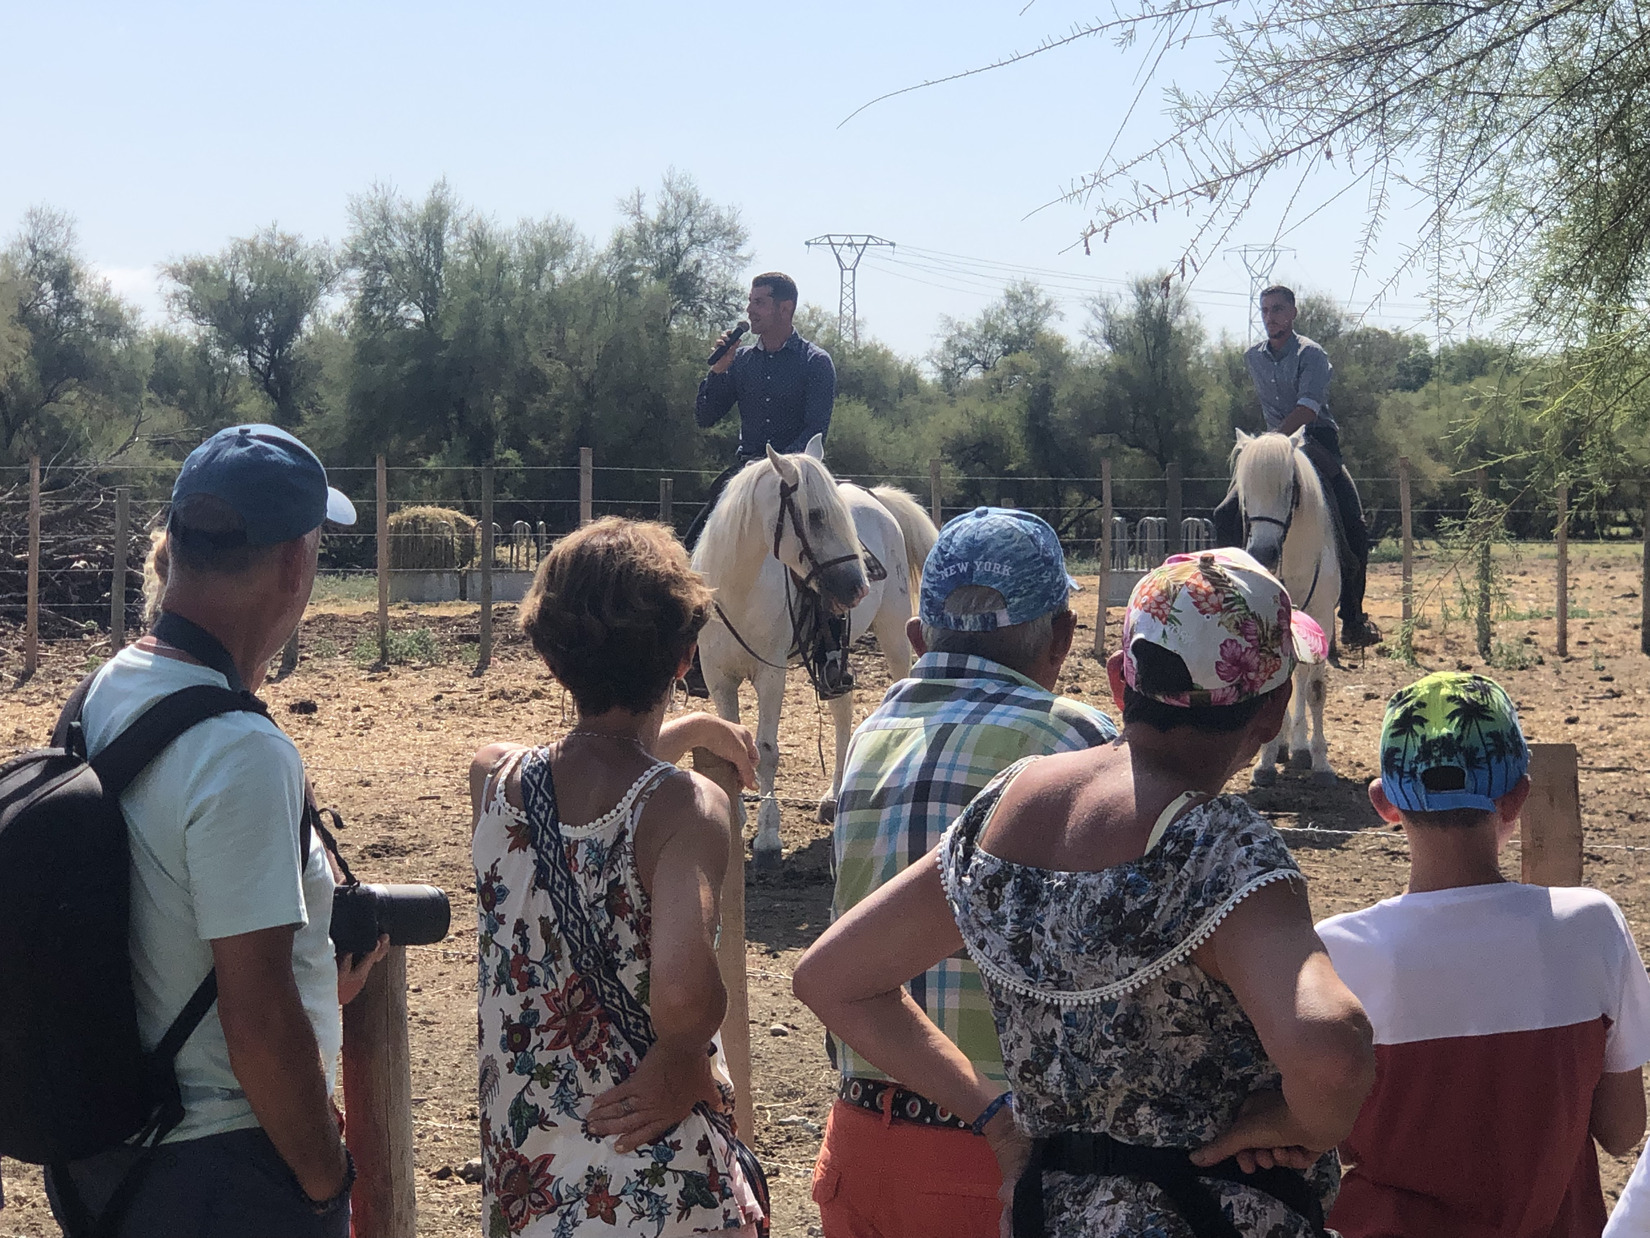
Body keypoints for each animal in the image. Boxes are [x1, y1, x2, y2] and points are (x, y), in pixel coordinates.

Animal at [689, 435, 937, 871]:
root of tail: (880, 501)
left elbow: (767, 750)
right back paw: (833, 797)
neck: (738, 588)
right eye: (817, 516)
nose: (859, 586)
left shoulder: (770, 675)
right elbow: (730, 742)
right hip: (833, 660)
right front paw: (735, 816)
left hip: (893, 634)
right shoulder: (719, 678)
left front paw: (768, 839)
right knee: (842, 709)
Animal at [1234, 432, 1346, 789]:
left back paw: (1298, 749)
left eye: (1290, 486)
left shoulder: (1322, 620)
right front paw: (1266, 762)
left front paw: (1321, 764)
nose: (1263, 553)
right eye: (1244, 490)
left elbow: (1314, 690)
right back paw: (1284, 746)